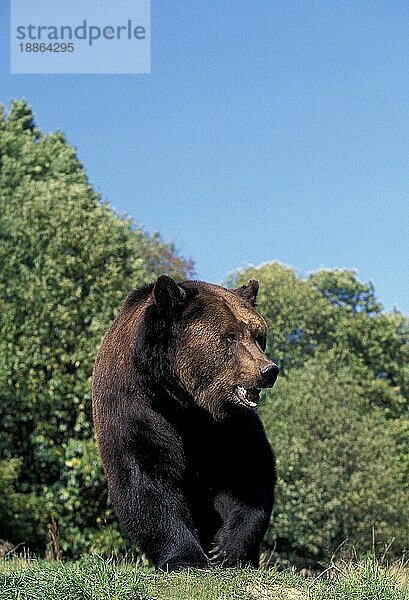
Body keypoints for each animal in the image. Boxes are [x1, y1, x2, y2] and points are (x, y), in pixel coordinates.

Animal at [92, 276, 278, 572]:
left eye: (258, 335)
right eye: (230, 336)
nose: (268, 370)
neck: (184, 400)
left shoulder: (229, 424)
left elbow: (248, 472)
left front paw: (226, 549)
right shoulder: (138, 410)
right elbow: (146, 477)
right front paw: (186, 557)